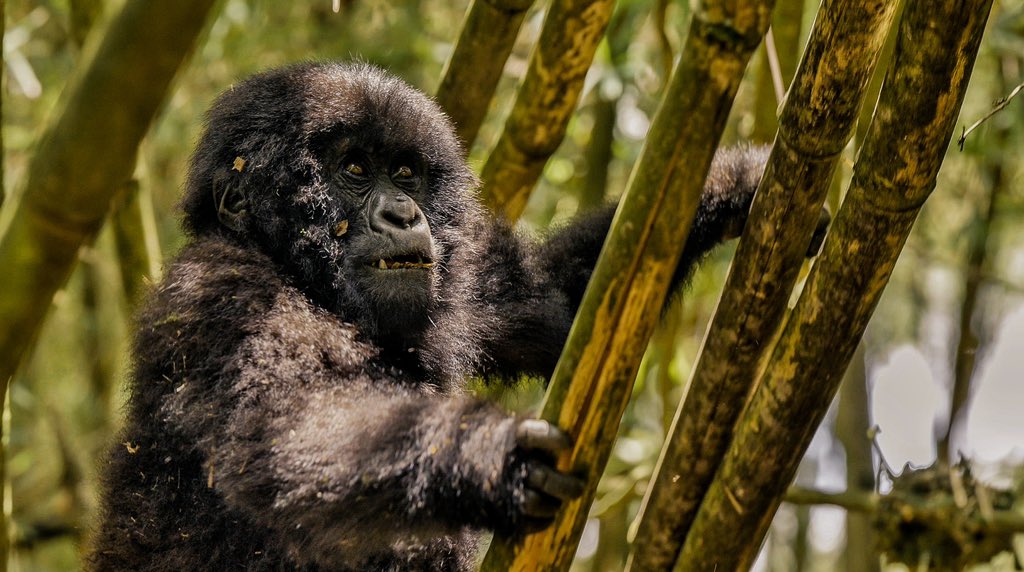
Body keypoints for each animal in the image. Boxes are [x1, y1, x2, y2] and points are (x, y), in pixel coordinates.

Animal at [86, 62, 821, 571]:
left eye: (407, 173)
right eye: (354, 169)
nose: (402, 214)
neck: (296, 271)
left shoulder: (465, 281)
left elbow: (558, 305)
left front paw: (741, 183)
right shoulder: (224, 300)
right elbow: (283, 434)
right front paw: (494, 459)